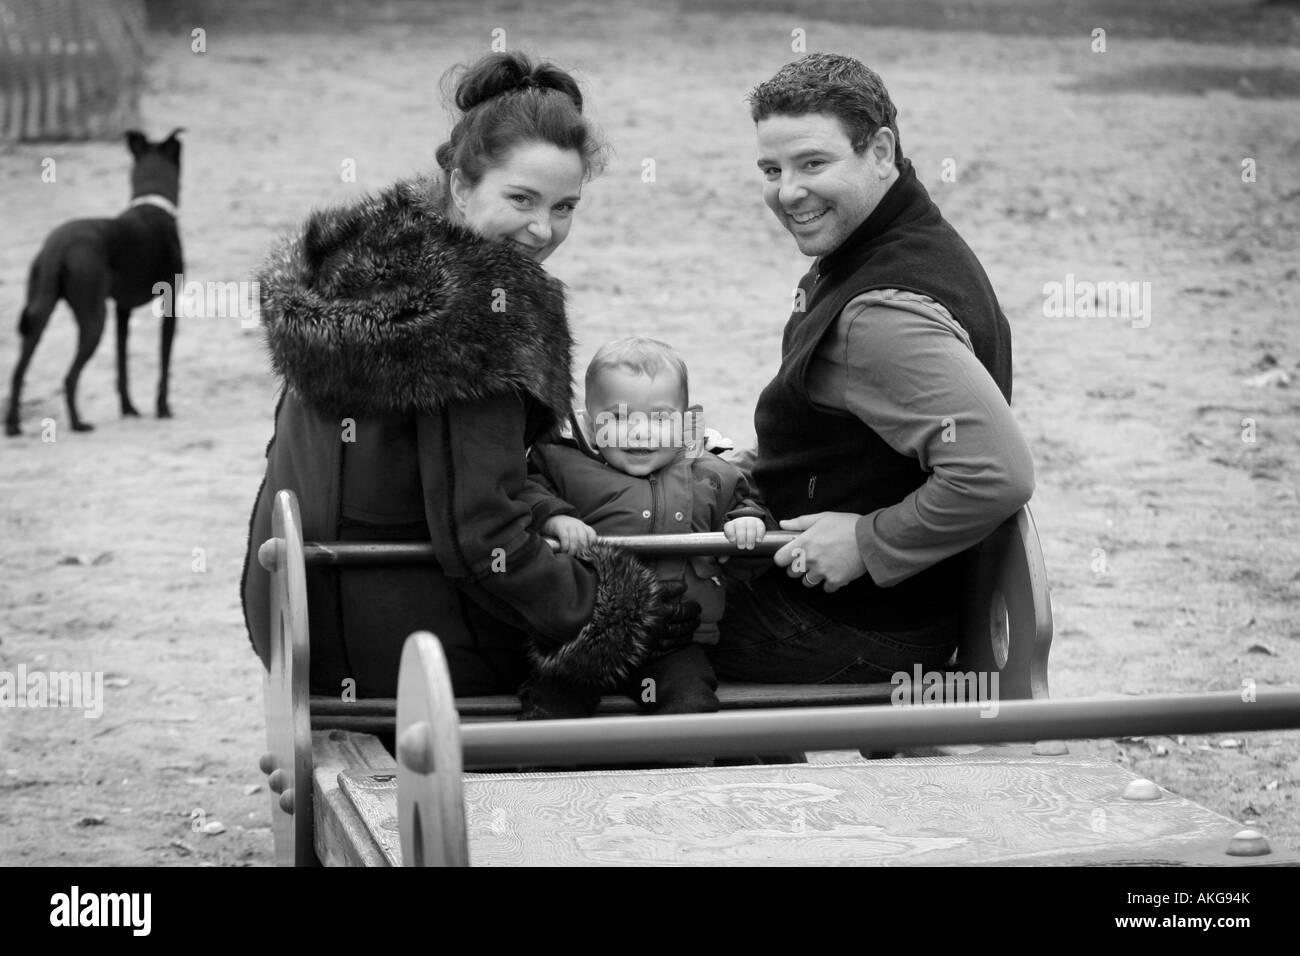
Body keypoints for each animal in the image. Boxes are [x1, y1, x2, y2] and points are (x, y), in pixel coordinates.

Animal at [5, 128, 183, 434]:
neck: (152, 204)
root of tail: (57, 247)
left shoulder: (122, 310)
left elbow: (122, 363)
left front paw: (129, 409)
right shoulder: (168, 307)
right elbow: (164, 363)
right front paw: (163, 410)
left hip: (38, 316)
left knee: (18, 372)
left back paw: (13, 425)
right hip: (93, 320)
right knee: (69, 376)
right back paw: (78, 423)